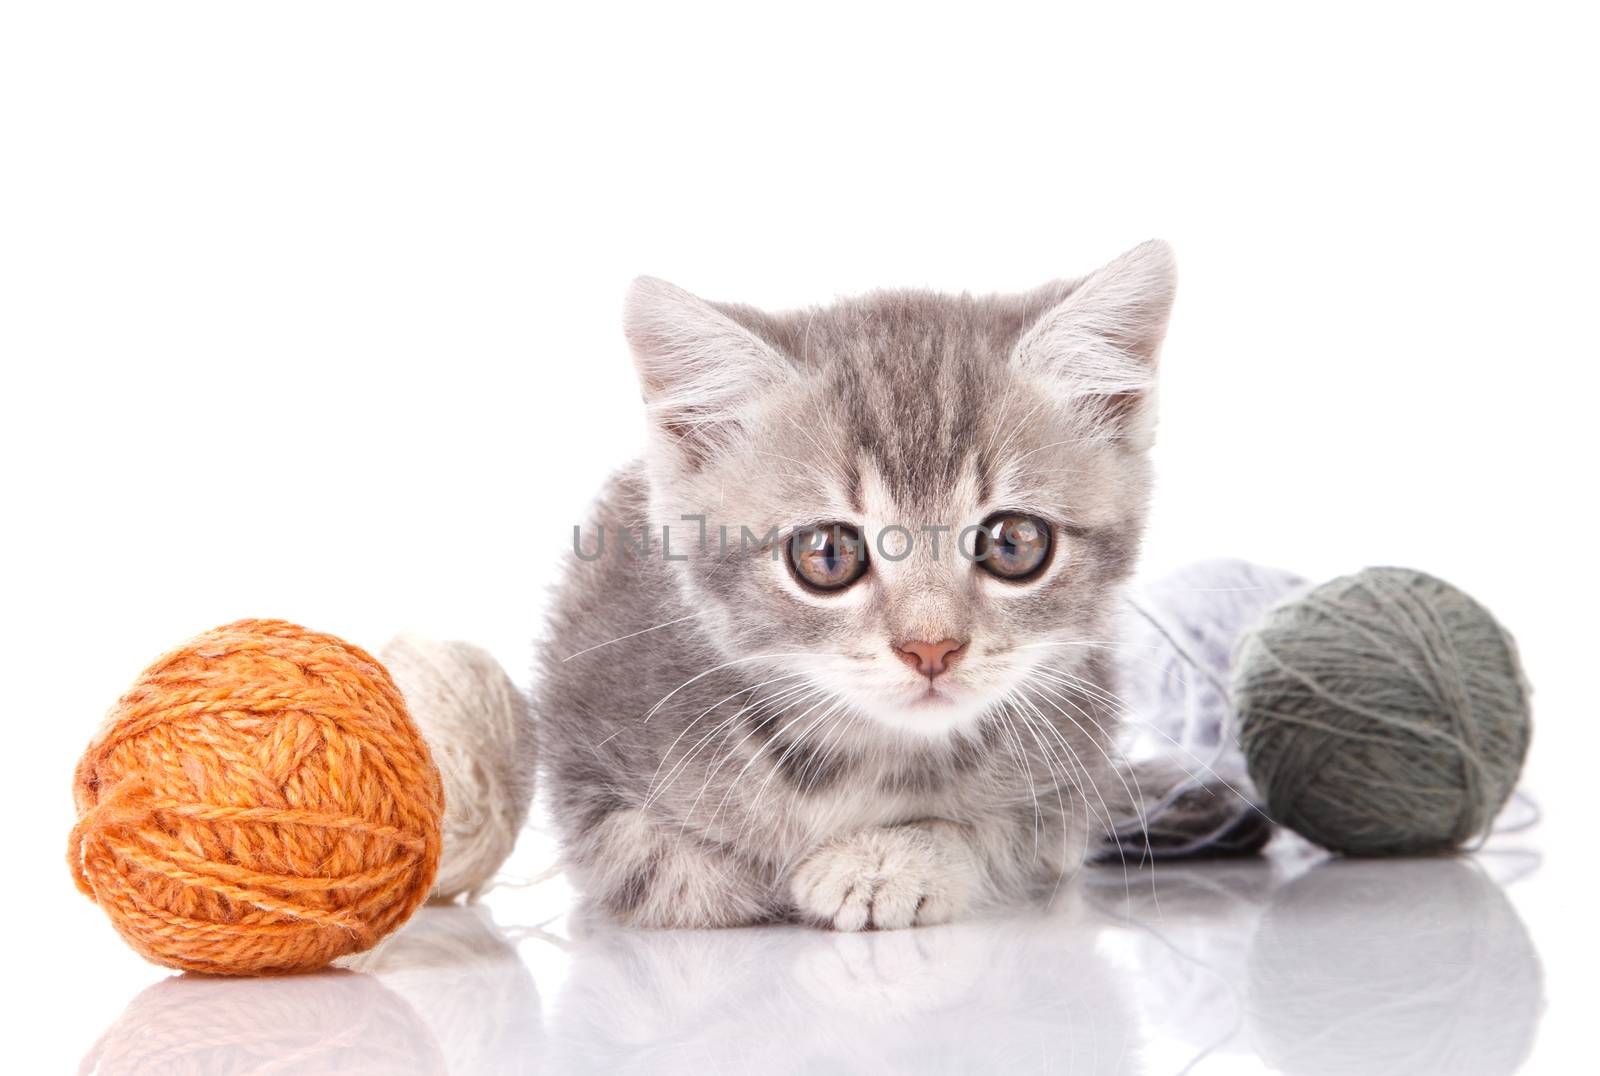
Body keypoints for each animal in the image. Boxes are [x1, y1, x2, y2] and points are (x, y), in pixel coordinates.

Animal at [537, 240, 1177, 928]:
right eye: (827, 554)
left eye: (1014, 543)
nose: (931, 648)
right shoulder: (580, 745)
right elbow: (650, 861)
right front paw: (741, 877)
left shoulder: (1073, 779)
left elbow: (1000, 834)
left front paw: (888, 859)